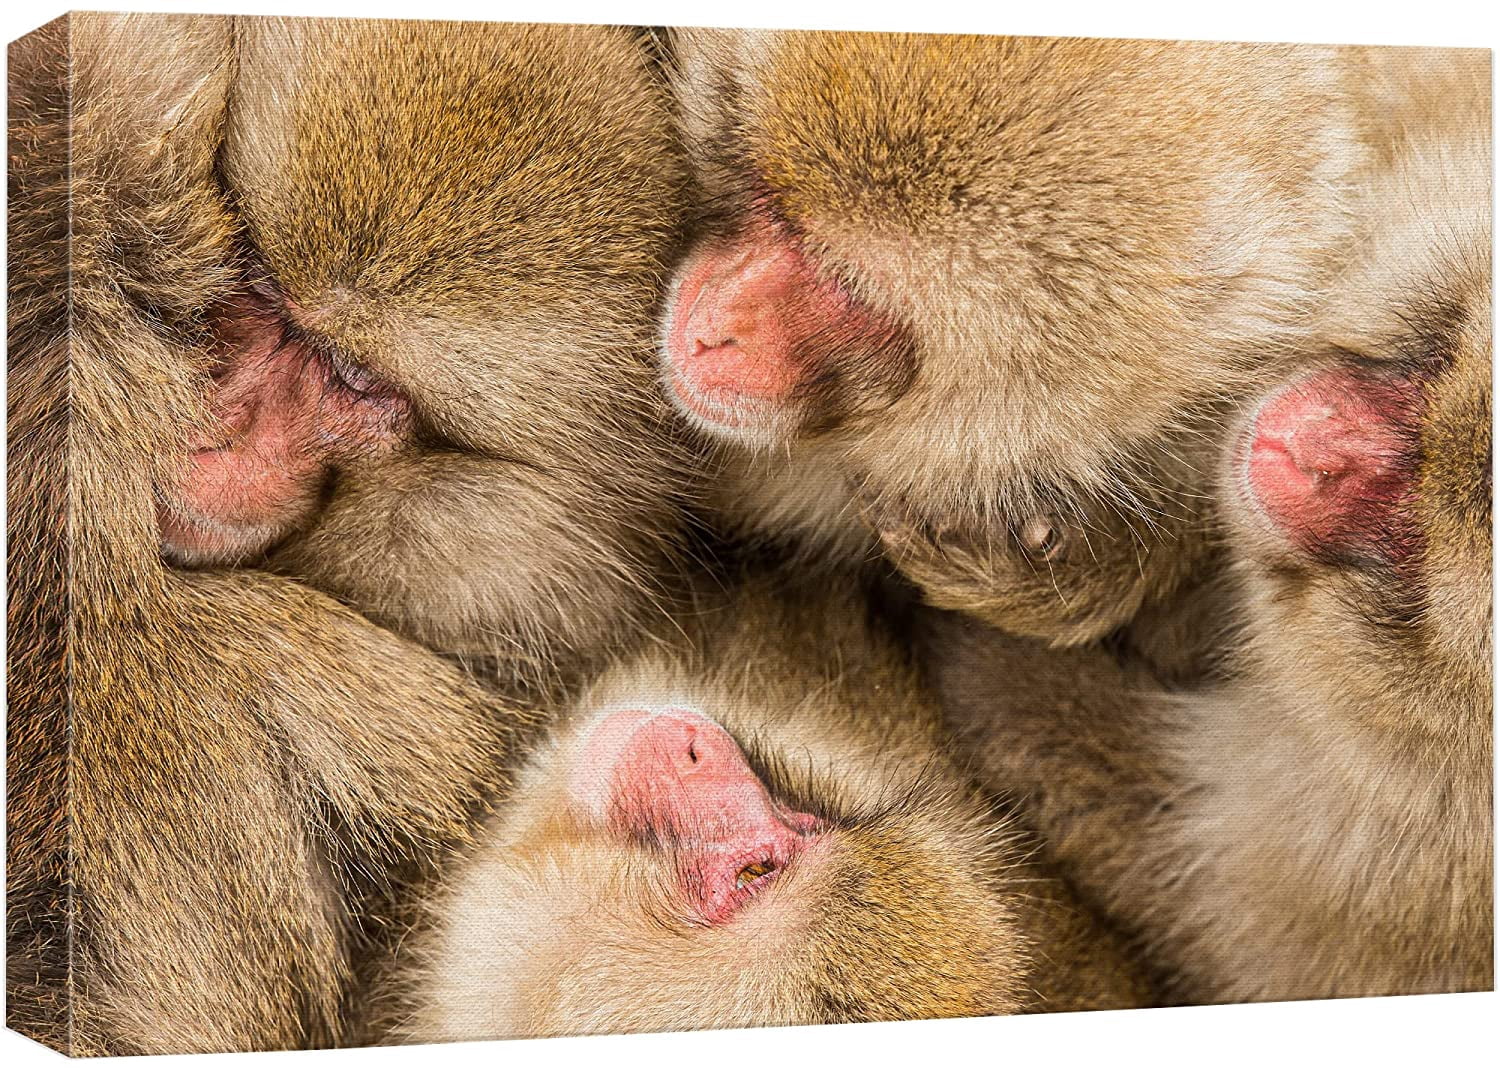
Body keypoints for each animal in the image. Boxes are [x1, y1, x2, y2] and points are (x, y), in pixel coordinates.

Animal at [923, 52, 1492, 1003]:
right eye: (1436, 351)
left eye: (1411, 550)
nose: (1313, 450)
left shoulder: (1400, 871)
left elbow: (1198, 880)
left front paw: (984, 662)